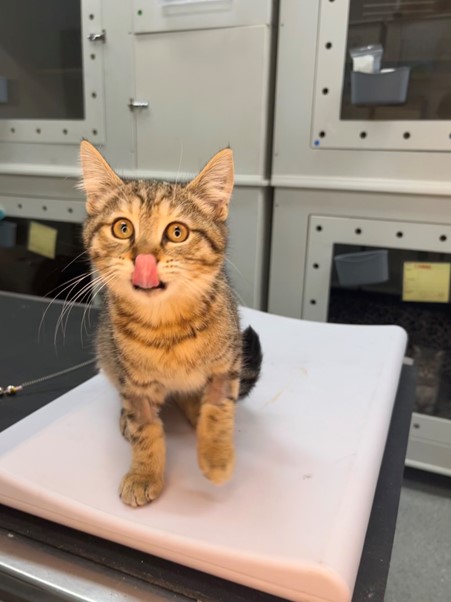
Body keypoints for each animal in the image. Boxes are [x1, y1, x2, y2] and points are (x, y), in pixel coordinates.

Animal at [79, 140, 262, 507]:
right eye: (123, 228)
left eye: (177, 232)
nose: (144, 259)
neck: (167, 327)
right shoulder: (134, 382)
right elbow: (145, 429)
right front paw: (144, 473)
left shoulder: (227, 364)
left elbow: (219, 408)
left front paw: (216, 455)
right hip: (107, 355)